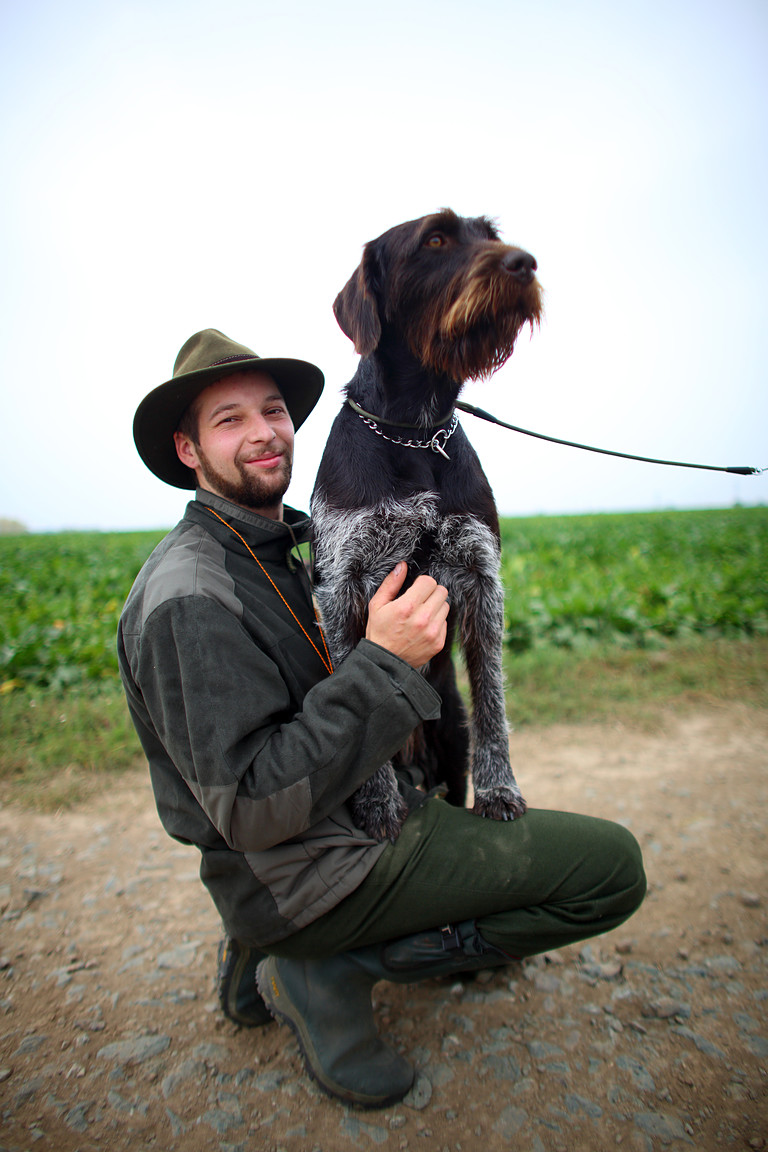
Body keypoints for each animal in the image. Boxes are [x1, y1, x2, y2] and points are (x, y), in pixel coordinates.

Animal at [310, 207, 541, 843]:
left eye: (490, 235)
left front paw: (500, 787)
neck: (414, 430)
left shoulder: (481, 575)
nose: (525, 263)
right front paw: (379, 805)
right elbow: (357, 700)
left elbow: (492, 695)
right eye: (435, 239)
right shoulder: (341, 585)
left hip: (449, 739)